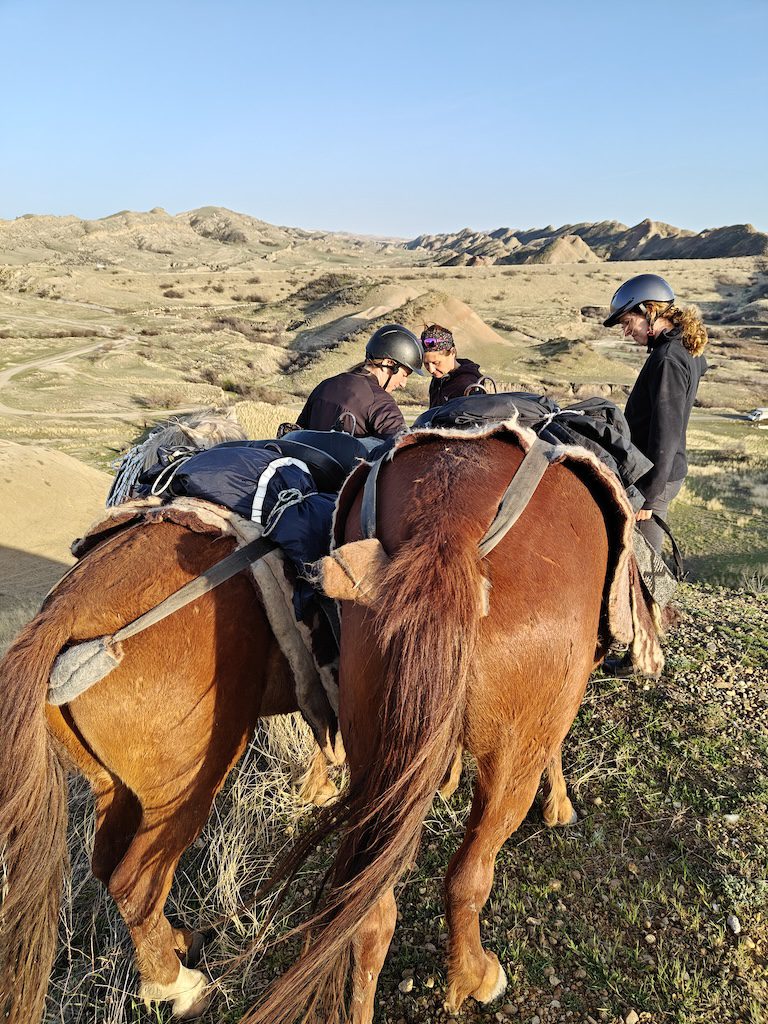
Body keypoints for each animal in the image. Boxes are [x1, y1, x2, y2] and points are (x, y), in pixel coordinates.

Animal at [0, 433, 339, 1023]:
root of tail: (60, 622)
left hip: (114, 787)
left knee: (109, 867)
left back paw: (179, 942)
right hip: (188, 783)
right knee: (136, 883)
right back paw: (176, 986)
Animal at [241, 428, 655, 1024]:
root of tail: (447, 529)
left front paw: (449, 775)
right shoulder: (558, 702)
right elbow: (555, 751)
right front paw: (559, 806)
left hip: (373, 745)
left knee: (370, 911)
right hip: (509, 762)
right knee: (467, 877)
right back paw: (477, 977)